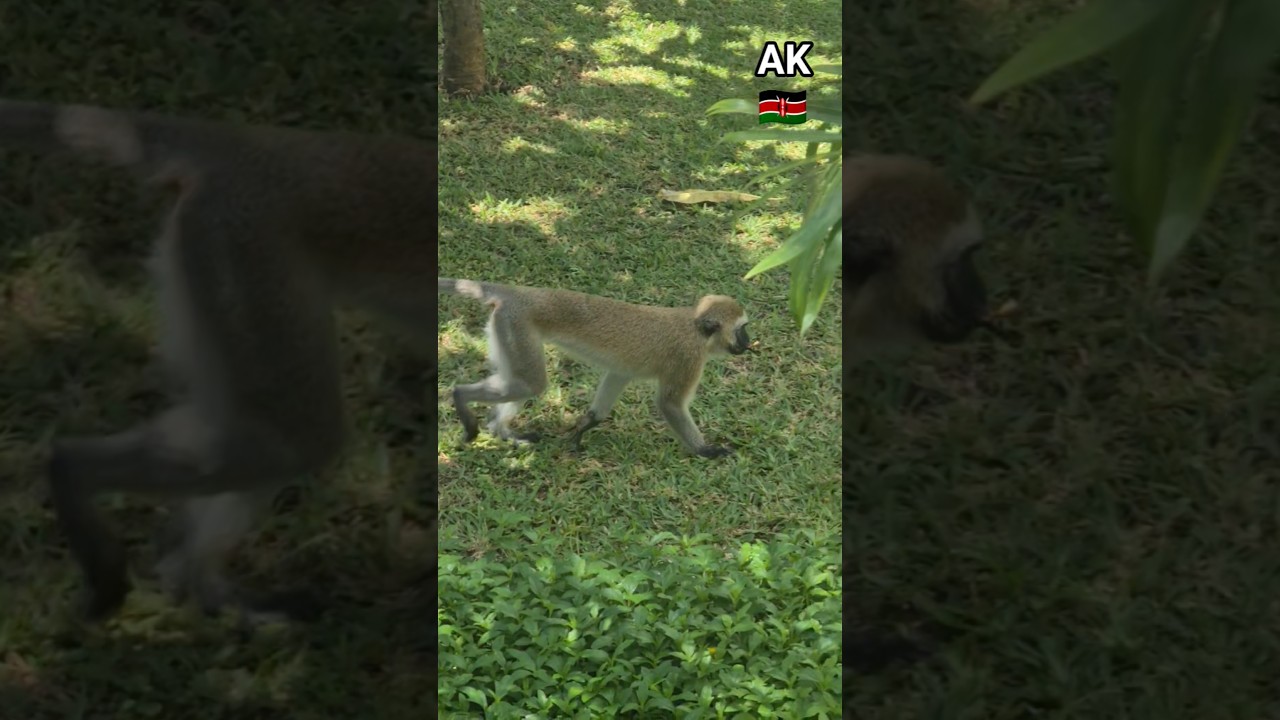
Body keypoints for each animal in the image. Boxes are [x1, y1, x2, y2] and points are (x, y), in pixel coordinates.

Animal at [0, 98, 436, 623]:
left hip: (213, 259)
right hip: (245, 251)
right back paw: (73, 473)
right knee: (295, 438)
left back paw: (196, 579)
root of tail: (253, 145)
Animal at [437, 278, 752, 459]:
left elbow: (616, 377)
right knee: (531, 383)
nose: (748, 343)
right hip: (517, 326)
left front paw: (585, 425)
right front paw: (705, 450)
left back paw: (502, 431)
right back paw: (460, 397)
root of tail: (520, 295)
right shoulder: (688, 359)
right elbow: (671, 404)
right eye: (741, 330)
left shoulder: (625, 370)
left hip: (506, 326)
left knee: (520, 379)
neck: (695, 327)